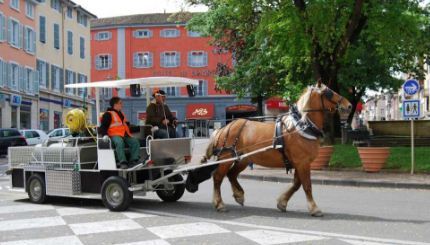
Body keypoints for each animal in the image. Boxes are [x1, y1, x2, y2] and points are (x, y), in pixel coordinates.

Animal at [200, 82, 352, 216]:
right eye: (329, 92)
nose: (349, 105)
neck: (301, 126)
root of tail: (224, 128)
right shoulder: (302, 162)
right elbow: (306, 185)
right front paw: (314, 208)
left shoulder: (300, 163)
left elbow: (296, 184)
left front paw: (282, 202)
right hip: (226, 158)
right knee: (218, 177)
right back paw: (219, 204)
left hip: (244, 159)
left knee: (231, 175)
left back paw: (239, 195)